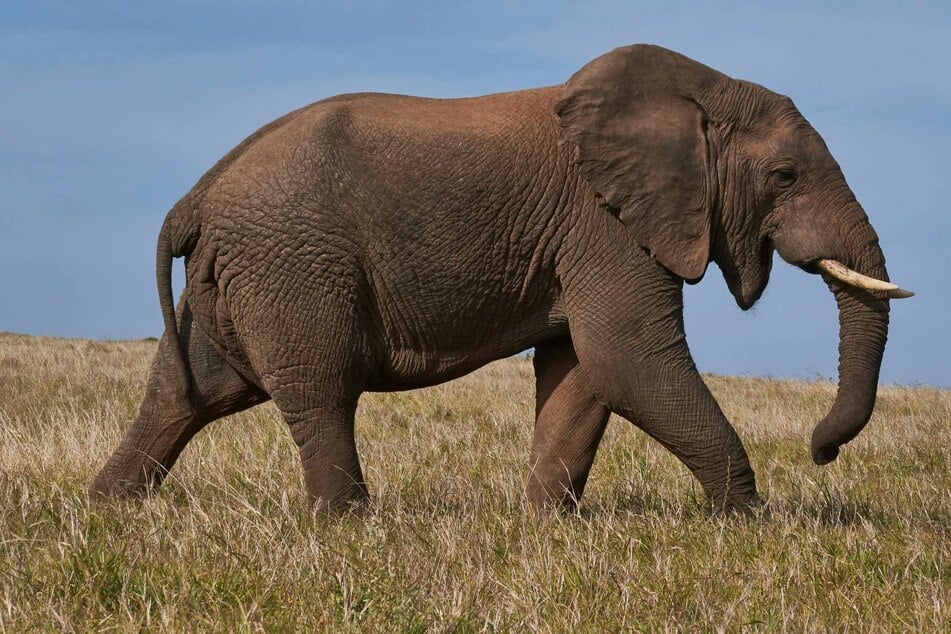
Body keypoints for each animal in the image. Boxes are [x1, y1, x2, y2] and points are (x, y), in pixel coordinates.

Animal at [92, 44, 912, 515]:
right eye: (784, 176)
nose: (821, 451)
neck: (696, 92)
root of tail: (197, 196)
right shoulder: (604, 224)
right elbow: (629, 358)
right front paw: (744, 523)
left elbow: (583, 370)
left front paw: (545, 527)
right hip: (291, 264)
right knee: (319, 390)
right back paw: (349, 527)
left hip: (237, 278)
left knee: (187, 393)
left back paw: (109, 513)